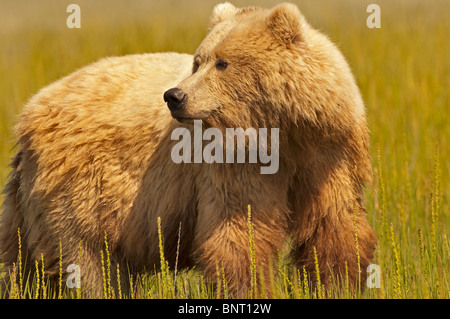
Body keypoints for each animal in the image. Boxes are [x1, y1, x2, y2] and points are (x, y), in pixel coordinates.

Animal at [0, 1, 376, 298]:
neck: (282, 134)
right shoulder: (233, 164)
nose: (174, 96)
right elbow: (239, 233)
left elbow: (333, 224)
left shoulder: (327, 153)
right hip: (82, 191)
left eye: (222, 63)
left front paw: (341, 282)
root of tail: (27, 117)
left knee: (22, 262)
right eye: (199, 61)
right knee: (92, 263)